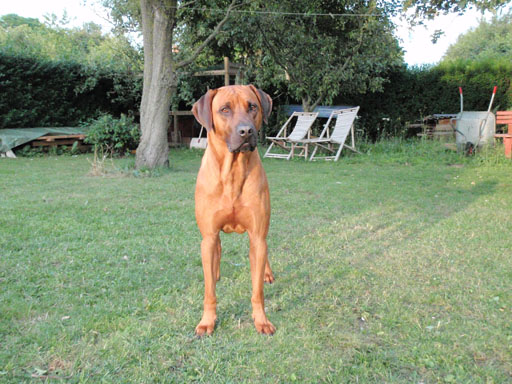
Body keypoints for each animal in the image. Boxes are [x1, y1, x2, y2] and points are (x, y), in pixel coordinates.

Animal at [191, 85, 274, 336]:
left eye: (252, 106)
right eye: (225, 109)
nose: (246, 131)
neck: (233, 171)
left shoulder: (257, 236)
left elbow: (257, 291)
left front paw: (261, 320)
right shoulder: (208, 235)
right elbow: (209, 290)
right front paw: (207, 321)